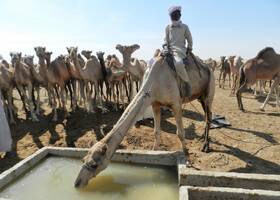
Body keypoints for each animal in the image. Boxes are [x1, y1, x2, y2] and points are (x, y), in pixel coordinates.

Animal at [74, 51, 214, 188]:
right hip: (199, 97)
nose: (77, 183)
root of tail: (208, 68)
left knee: (209, 117)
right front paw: (153, 152)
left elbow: (180, 133)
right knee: (207, 115)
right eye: (83, 159)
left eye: (94, 164)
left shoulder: (176, 104)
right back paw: (202, 138)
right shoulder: (155, 103)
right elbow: (156, 132)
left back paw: (205, 146)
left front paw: (188, 160)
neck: (155, 81)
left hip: (208, 92)